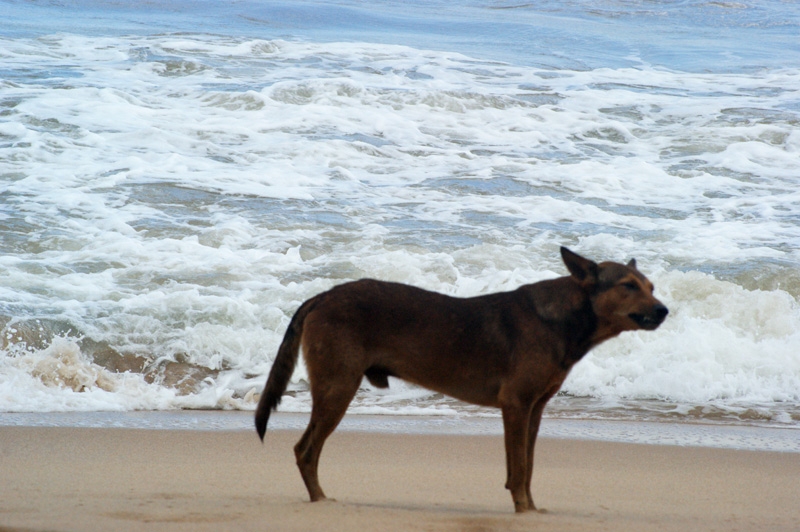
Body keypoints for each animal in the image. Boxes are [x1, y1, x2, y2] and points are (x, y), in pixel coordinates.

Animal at [255, 247, 664, 512]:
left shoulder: (534, 410)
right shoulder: (516, 405)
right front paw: (523, 510)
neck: (567, 318)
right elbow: (519, 469)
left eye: (651, 287)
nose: (664, 311)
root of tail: (323, 296)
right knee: (305, 451)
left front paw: (531, 510)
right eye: (628, 285)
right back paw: (321, 503)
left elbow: (527, 466)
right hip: (338, 388)